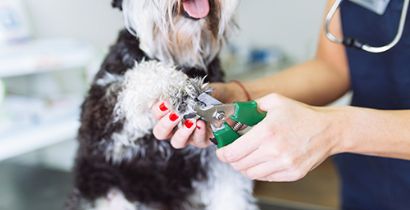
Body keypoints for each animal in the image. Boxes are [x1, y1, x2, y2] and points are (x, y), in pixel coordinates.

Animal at [67, 0, 260, 210]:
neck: (179, 55)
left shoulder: (214, 158)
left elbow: (232, 193)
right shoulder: (101, 121)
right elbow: (144, 73)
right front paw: (180, 89)